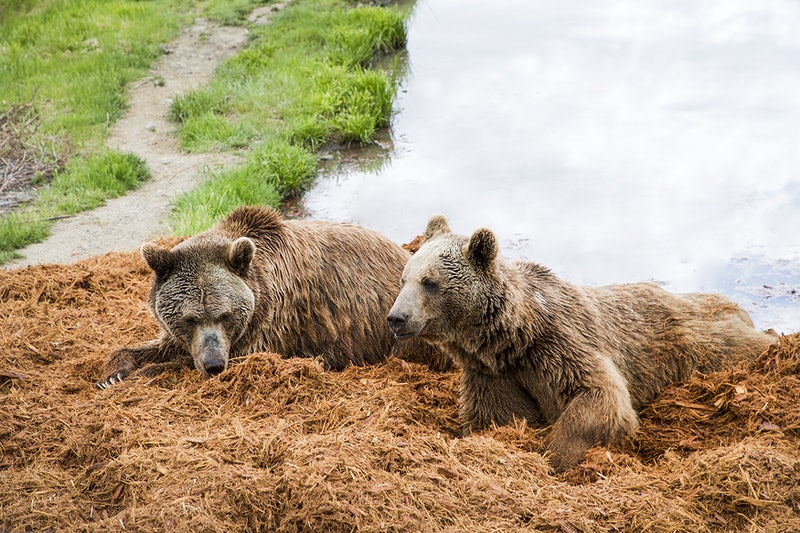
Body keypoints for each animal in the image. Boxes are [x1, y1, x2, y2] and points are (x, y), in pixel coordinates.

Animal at [96, 205, 446, 386]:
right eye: (189, 318)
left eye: (224, 314)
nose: (214, 364)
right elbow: (157, 346)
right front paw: (113, 373)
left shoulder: (272, 326)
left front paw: (144, 374)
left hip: (401, 324)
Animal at [386, 215, 776, 470]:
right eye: (404, 277)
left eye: (430, 282)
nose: (396, 318)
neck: (510, 339)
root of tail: (740, 309)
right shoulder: (494, 375)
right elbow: (492, 416)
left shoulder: (559, 344)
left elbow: (601, 396)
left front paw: (556, 454)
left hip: (699, 340)